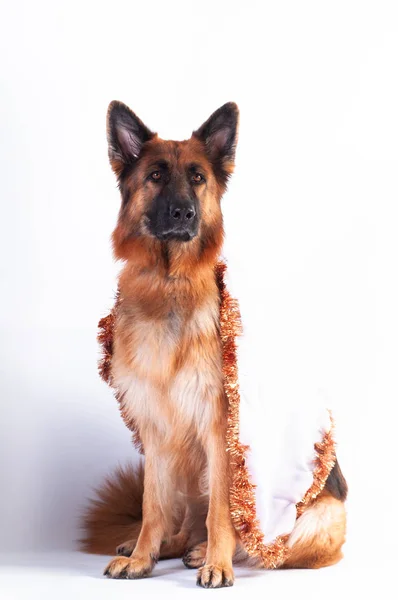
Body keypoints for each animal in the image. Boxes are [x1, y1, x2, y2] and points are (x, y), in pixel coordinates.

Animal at [81, 102, 348, 584]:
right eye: (155, 176)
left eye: (198, 177)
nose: (184, 213)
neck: (169, 283)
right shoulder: (156, 429)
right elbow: (152, 504)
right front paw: (143, 556)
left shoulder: (221, 432)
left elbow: (223, 511)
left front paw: (217, 564)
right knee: (182, 519)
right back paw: (166, 546)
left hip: (307, 521)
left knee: (251, 540)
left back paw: (207, 552)